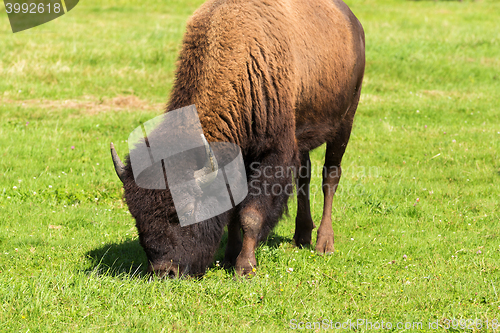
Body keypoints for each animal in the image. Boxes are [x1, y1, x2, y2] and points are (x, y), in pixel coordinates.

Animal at [111, 0, 366, 276]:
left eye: (186, 210)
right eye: (136, 215)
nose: (164, 271)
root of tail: (353, 23)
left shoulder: (272, 154)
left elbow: (250, 214)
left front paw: (245, 267)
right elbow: (233, 208)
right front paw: (230, 256)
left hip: (345, 123)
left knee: (330, 177)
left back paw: (324, 243)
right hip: (304, 136)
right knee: (304, 178)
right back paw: (301, 237)